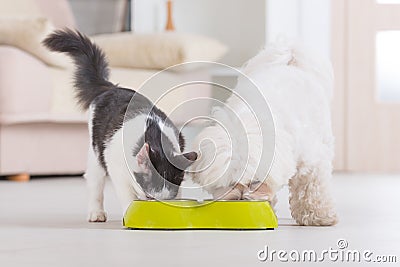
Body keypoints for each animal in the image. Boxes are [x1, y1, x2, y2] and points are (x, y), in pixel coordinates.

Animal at [43, 29, 197, 223]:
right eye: (149, 197)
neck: (154, 134)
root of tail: (110, 87)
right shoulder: (117, 169)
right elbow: (127, 196)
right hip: (96, 154)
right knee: (95, 182)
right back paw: (96, 213)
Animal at [191, 41, 338, 226]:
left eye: (255, 182)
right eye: (231, 183)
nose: (240, 199)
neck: (248, 118)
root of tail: (289, 58)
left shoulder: (311, 159)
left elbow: (311, 187)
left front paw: (318, 216)